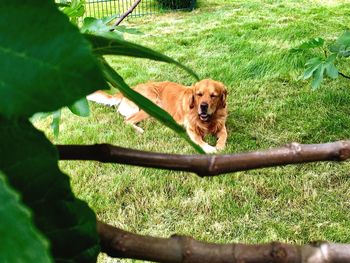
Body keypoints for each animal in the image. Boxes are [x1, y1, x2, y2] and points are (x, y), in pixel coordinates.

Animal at [88, 80, 227, 155]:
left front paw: (220, 145)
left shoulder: (221, 124)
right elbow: (199, 140)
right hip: (149, 105)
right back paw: (139, 130)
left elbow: (224, 135)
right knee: (127, 120)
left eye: (213, 95)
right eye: (199, 94)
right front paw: (210, 149)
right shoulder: (191, 129)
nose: (203, 106)